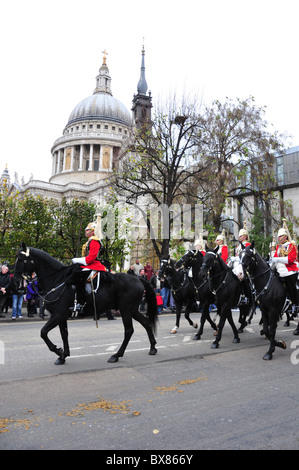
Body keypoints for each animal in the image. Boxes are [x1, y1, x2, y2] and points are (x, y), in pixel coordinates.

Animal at [14, 244, 159, 366]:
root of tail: (138, 279)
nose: (16, 281)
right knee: (146, 323)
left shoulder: (58, 315)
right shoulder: (61, 316)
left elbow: (43, 332)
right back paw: (152, 348)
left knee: (129, 331)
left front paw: (58, 351)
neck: (57, 279)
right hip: (132, 310)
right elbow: (63, 334)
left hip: (126, 311)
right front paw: (63, 356)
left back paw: (116, 355)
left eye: (21, 259)